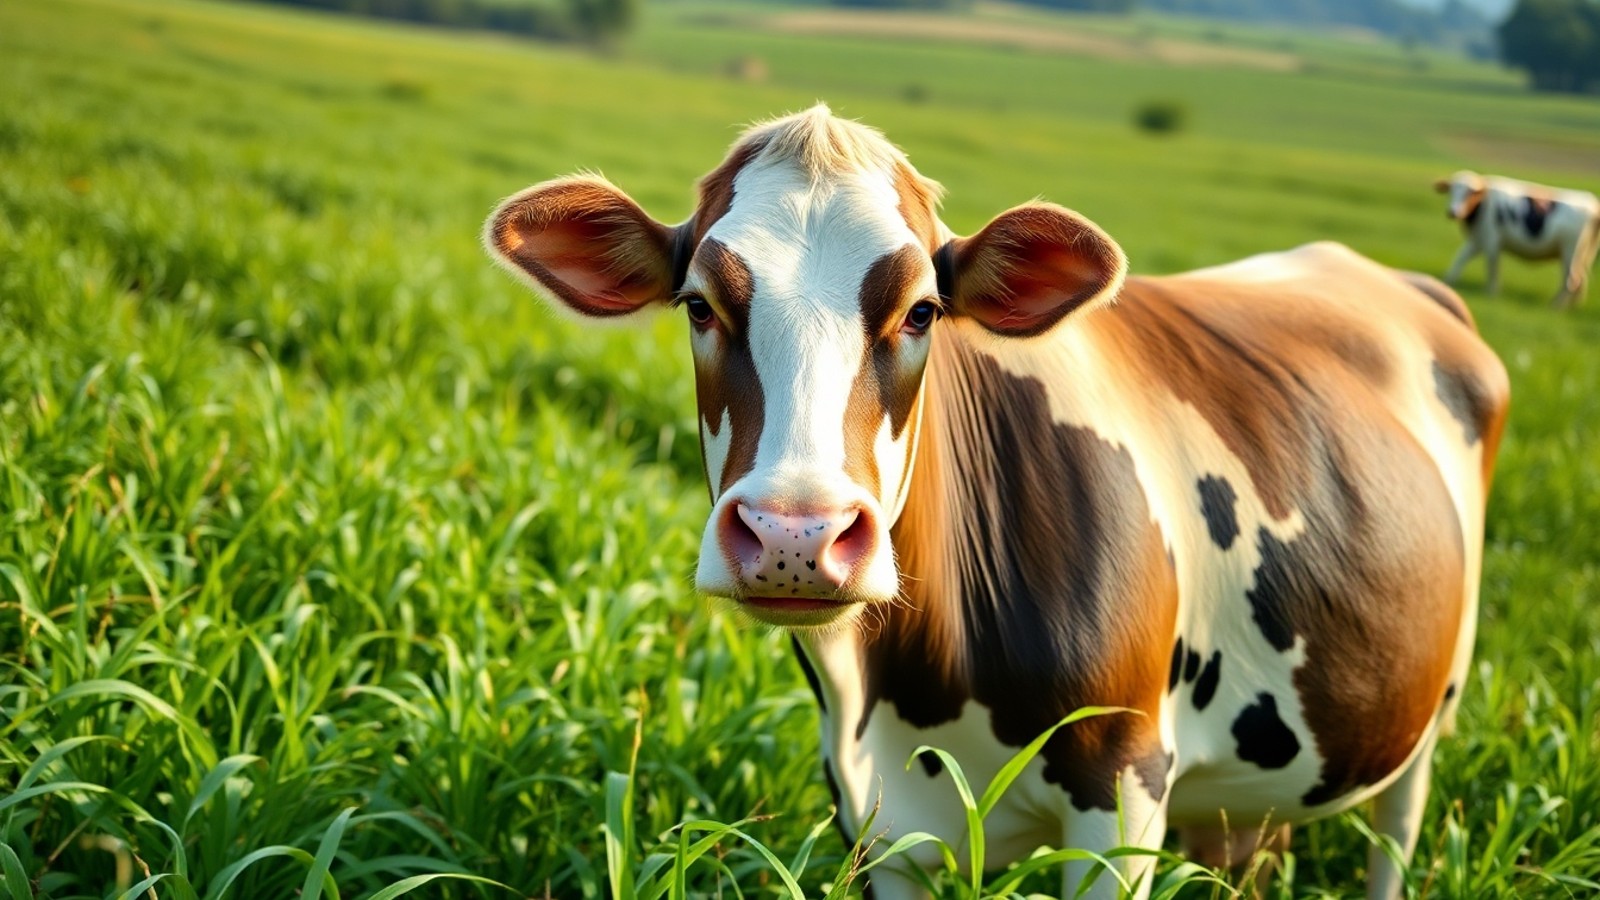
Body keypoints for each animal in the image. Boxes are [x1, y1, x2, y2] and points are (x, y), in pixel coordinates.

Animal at [485, 106, 1509, 899]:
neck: (911, 685)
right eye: (699, 304)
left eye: (922, 311)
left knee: (1395, 837)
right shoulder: (878, 821)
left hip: (1426, 722)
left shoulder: (1123, 790)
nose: (796, 534)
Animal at [1435, 169, 1600, 309]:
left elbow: (1492, 266)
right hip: (1584, 255)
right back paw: (1573, 306)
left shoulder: (1491, 239)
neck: (1482, 207)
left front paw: (1492, 293)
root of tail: (1593, 204)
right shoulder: (1477, 240)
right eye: (1451, 190)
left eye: (1470, 193)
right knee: (1580, 279)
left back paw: (1556, 307)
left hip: (1570, 249)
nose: (1453, 212)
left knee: (1572, 280)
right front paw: (1447, 282)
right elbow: (1459, 260)